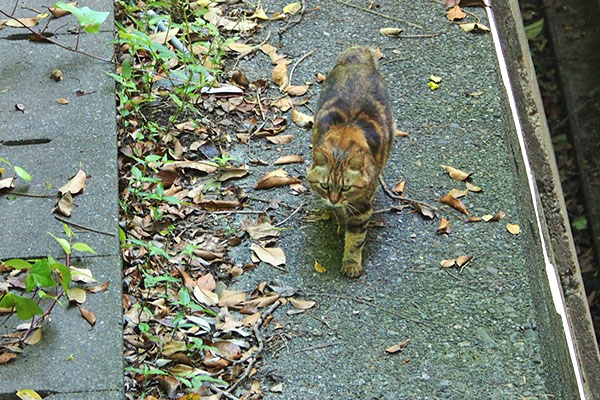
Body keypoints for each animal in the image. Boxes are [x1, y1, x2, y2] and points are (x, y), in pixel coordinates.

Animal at [308, 46, 396, 278]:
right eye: (324, 185)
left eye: (347, 187)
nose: (333, 199)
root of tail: (358, 55)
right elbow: (341, 215)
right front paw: (341, 224)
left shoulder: (362, 206)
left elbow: (356, 240)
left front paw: (351, 263)